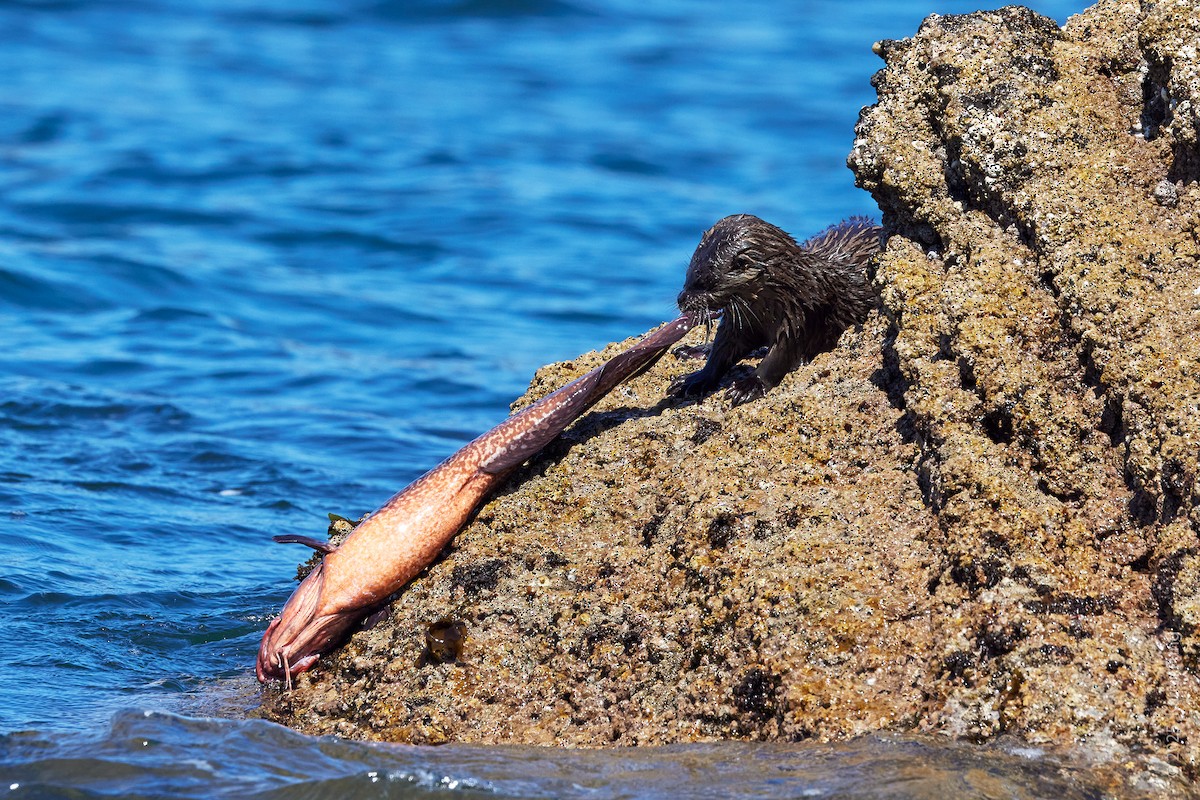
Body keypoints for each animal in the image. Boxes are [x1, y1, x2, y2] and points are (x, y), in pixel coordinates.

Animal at [672, 214, 882, 405]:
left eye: (706, 282)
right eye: (688, 274)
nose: (681, 300)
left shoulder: (799, 316)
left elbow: (778, 357)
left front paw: (747, 386)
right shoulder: (741, 323)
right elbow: (721, 350)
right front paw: (694, 379)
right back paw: (692, 350)